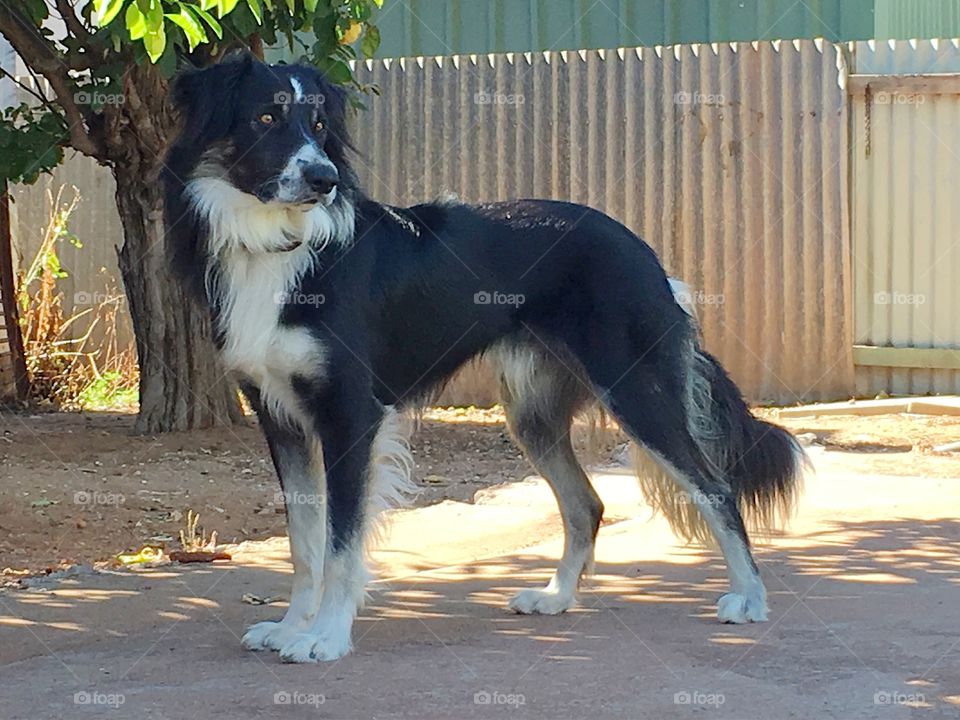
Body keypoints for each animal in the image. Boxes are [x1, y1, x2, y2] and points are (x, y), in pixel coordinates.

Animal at [163, 56, 804, 664]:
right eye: (265, 118)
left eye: (319, 127)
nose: (324, 179)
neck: (280, 248)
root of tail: (643, 251)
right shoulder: (280, 416)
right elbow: (303, 542)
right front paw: (293, 626)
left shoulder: (350, 414)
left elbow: (341, 543)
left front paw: (325, 637)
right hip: (534, 416)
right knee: (587, 503)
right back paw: (556, 598)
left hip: (637, 393)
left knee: (715, 487)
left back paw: (749, 598)